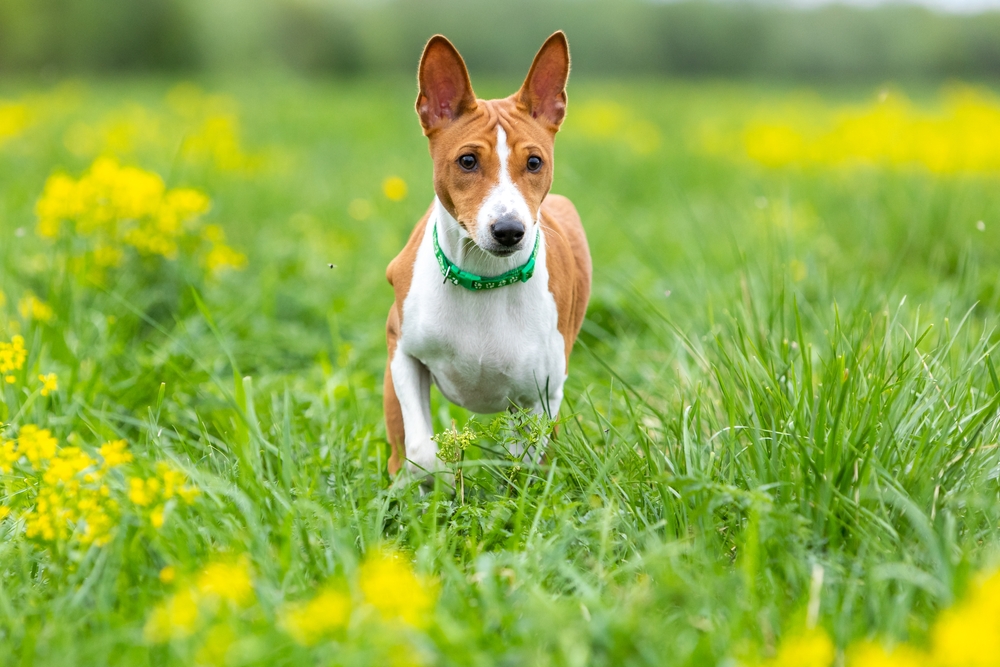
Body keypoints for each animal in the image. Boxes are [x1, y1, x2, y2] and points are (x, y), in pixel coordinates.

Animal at [380, 32, 584, 480]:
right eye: (468, 160)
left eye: (534, 162)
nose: (508, 230)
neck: (484, 278)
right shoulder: (402, 353)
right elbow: (422, 452)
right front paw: (442, 480)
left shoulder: (541, 394)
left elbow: (521, 464)